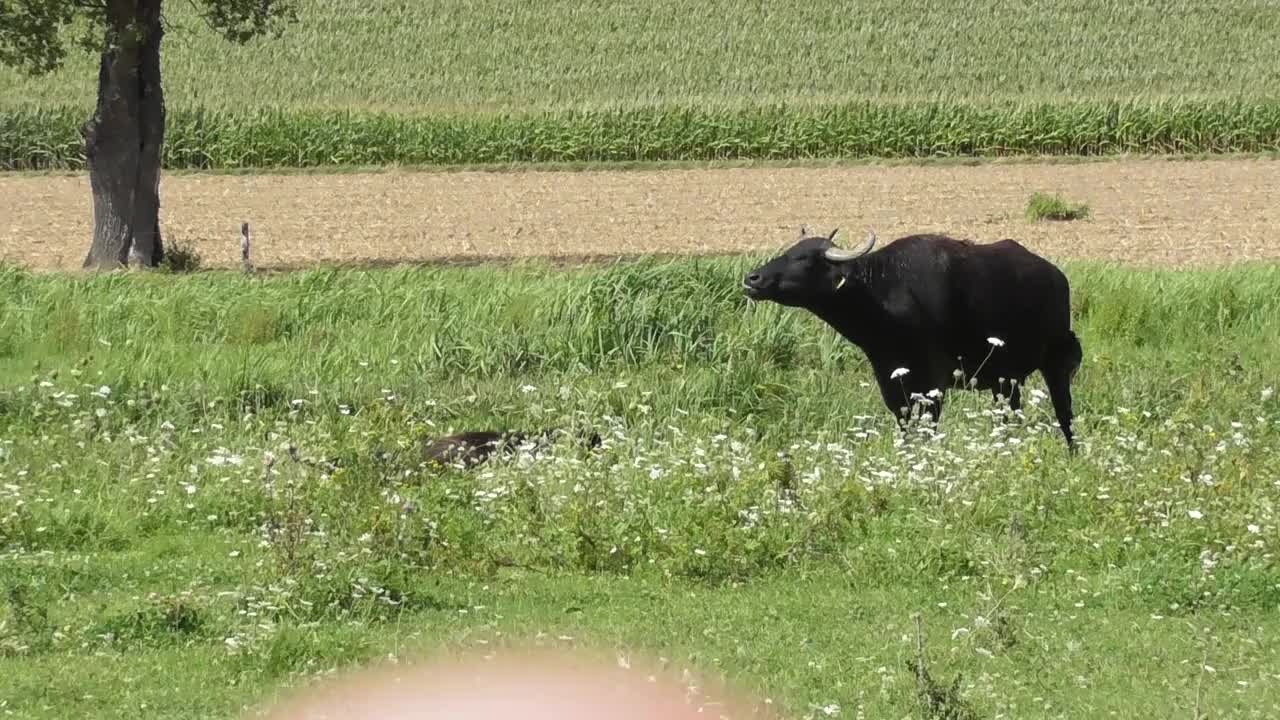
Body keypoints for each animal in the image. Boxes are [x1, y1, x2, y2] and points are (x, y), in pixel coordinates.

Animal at [742, 225, 1080, 448]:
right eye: (788, 252)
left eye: (805, 259)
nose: (751, 278)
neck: (884, 294)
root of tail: (1058, 278)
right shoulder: (891, 380)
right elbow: (905, 425)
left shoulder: (935, 382)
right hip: (1005, 379)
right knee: (1011, 413)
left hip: (1056, 365)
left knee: (1065, 414)